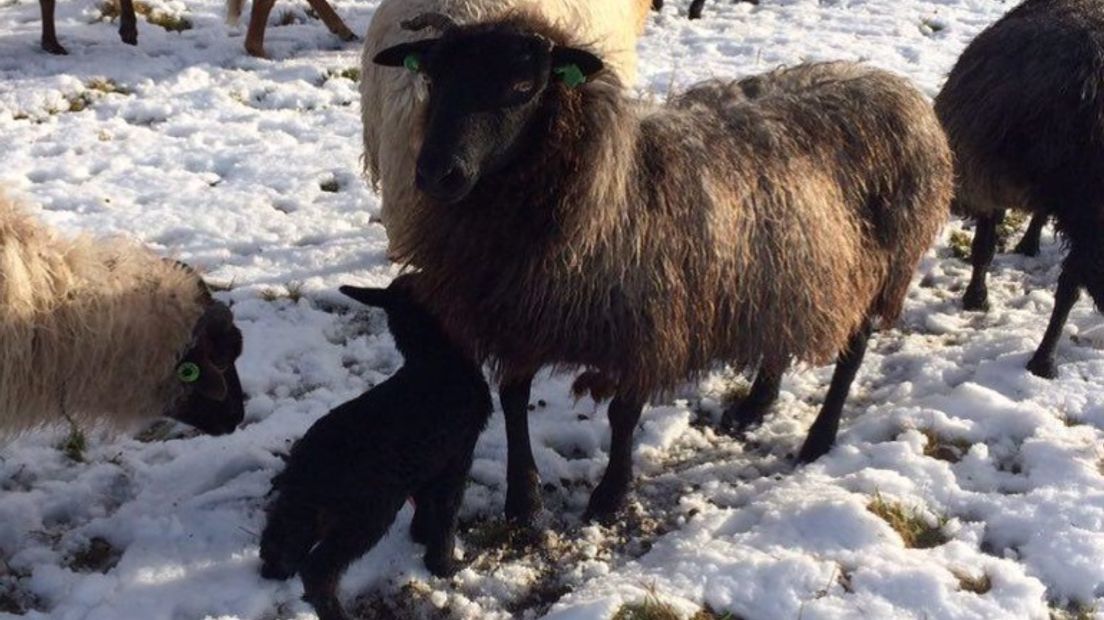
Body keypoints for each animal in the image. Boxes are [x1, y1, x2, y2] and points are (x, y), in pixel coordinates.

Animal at [258, 273, 492, 617]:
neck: (434, 358)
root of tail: (307, 465)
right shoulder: (457, 457)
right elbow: (446, 513)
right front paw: (444, 566)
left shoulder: (427, 465)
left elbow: (426, 506)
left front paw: (419, 536)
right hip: (367, 513)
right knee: (317, 569)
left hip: (314, 507)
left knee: (279, 535)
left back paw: (275, 568)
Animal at [373, 12, 958, 518]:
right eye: (433, 77)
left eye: (523, 87)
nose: (438, 173)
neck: (607, 185)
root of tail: (897, 87)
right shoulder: (517, 314)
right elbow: (514, 402)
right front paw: (524, 501)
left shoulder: (648, 320)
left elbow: (623, 414)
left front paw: (609, 497)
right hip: (792, 262)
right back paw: (756, 403)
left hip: (881, 266)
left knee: (852, 352)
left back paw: (820, 437)